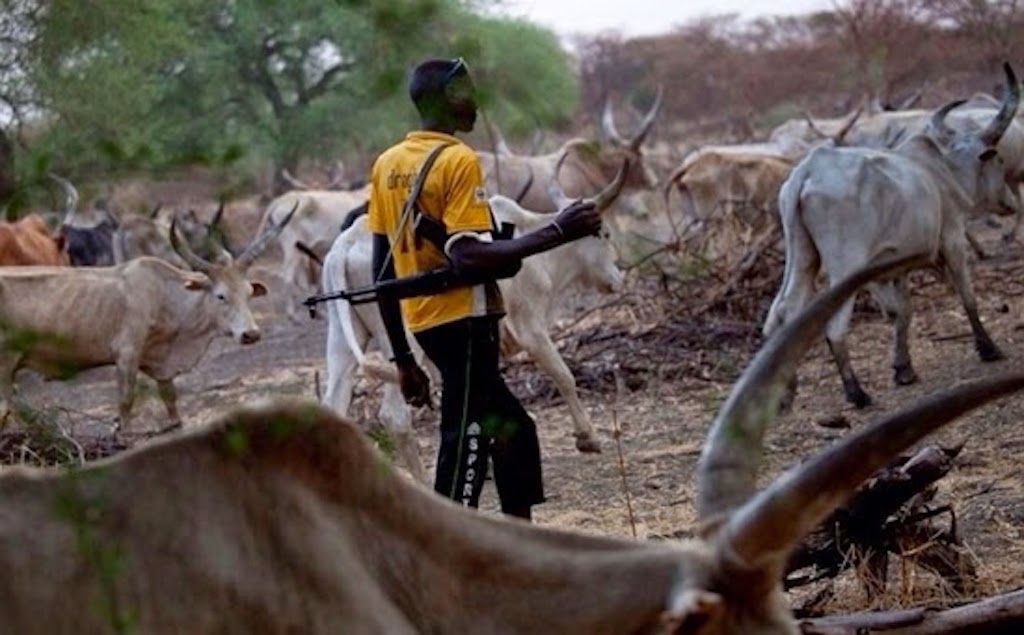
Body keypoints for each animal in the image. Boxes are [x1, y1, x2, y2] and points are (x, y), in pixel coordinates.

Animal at [765, 64, 1019, 409]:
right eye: (999, 159)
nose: (1010, 202)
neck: (941, 172)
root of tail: (808, 170)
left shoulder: (894, 268)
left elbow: (903, 312)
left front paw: (904, 368)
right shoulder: (953, 240)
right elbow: (967, 295)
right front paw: (988, 348)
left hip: (803, 256)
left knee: (785, 311)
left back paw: (785, 394)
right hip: (845, 267)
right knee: (834, 325)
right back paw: (856, 392)